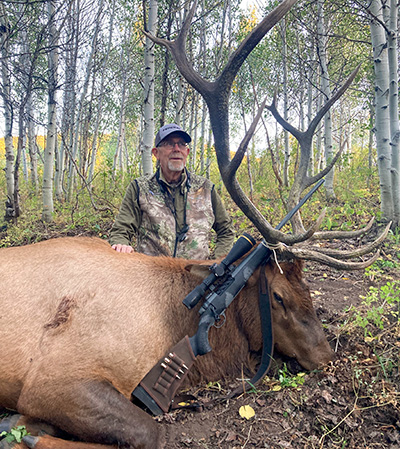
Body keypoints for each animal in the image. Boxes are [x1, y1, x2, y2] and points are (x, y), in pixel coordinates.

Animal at [0, 218, 388, 448]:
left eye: (309, 288)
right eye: (278, 296)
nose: (327, 357)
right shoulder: (51, 380)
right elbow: (152, 432)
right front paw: (21, 432)